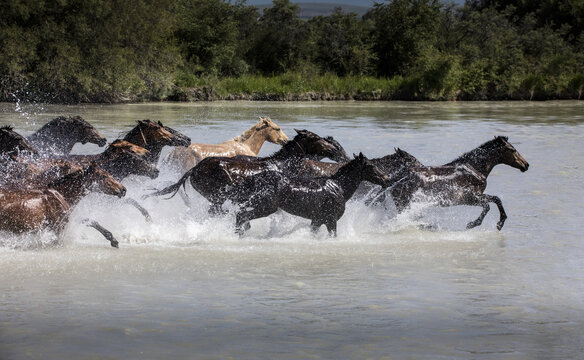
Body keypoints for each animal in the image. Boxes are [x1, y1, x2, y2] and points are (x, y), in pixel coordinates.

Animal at [230, 153, 390, 238]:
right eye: (371, 166)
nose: (386, 179)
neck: (338, 187)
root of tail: (256, 178)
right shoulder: (331, 220)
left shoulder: (317, 220)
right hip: (266, 206)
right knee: (242, 216)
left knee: (240, 215)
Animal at [378, 136, 528, 229]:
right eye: (512, 150)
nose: (526, 165)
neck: (474, 168)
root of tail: (391, 180)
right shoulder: (469, 197)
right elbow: (488, 205)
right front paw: (473, 224)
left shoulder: (474, 196)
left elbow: (496, 200)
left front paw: (499, 223)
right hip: (404, 202)